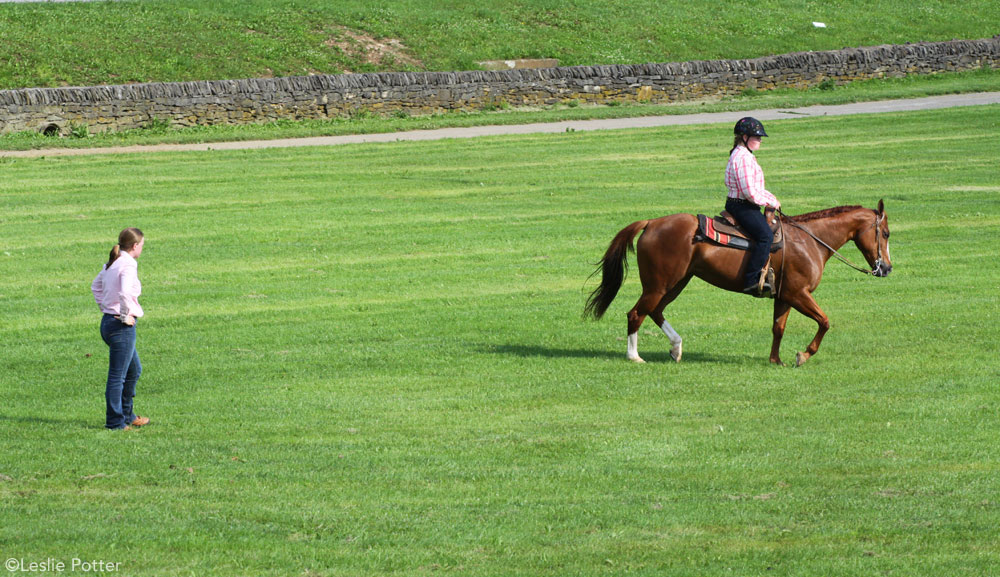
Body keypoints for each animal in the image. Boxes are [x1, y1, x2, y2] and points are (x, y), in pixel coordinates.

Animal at [584, 200, 896, 366]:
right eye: (886, 233)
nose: (887, 268)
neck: (809, 241)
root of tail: (651, 223)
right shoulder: (799, 294)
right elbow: (825, 321)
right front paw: (803, 355)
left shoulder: (784, 296)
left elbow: (778, 328)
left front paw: (776, 360)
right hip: (659, 284)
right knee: (636, 313)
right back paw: (635, 356)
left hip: (677, 282)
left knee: (655, 311)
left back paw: (676, 348)